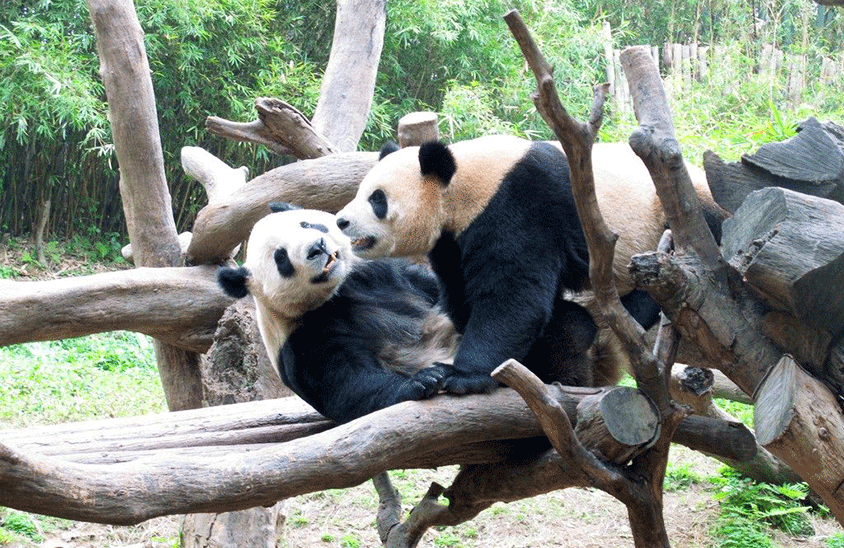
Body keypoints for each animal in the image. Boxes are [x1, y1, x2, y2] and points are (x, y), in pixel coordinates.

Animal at [214, 203, 462, 422]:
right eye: (281, 257)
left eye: (307, 224)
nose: (317, 247)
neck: (336, 293)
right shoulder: (301, 338)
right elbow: (346, 386)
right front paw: (423, 380)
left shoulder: (381, 275)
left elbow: (431, 286)